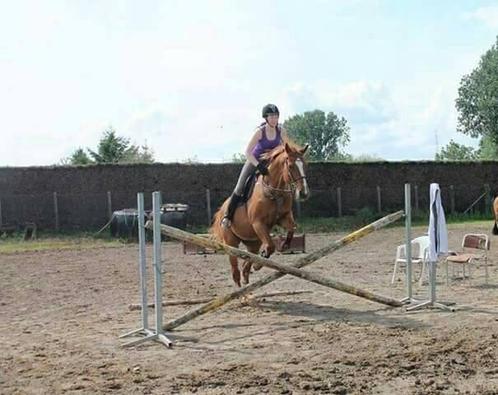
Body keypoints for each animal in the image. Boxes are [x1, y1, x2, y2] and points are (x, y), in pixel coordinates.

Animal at [208, 142, 310, 288]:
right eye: (290, 166)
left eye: (305, 165)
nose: (304, 193)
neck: (274, 192)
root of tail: (222, 209)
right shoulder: (258, 223)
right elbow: (270, 246)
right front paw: (262, 258)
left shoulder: (283, 217)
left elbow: (292, 228)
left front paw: (284, 246)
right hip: (231, 241)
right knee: (234, 263)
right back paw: (239, 282)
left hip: (253, 241)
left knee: (248, 258)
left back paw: (248, 273)